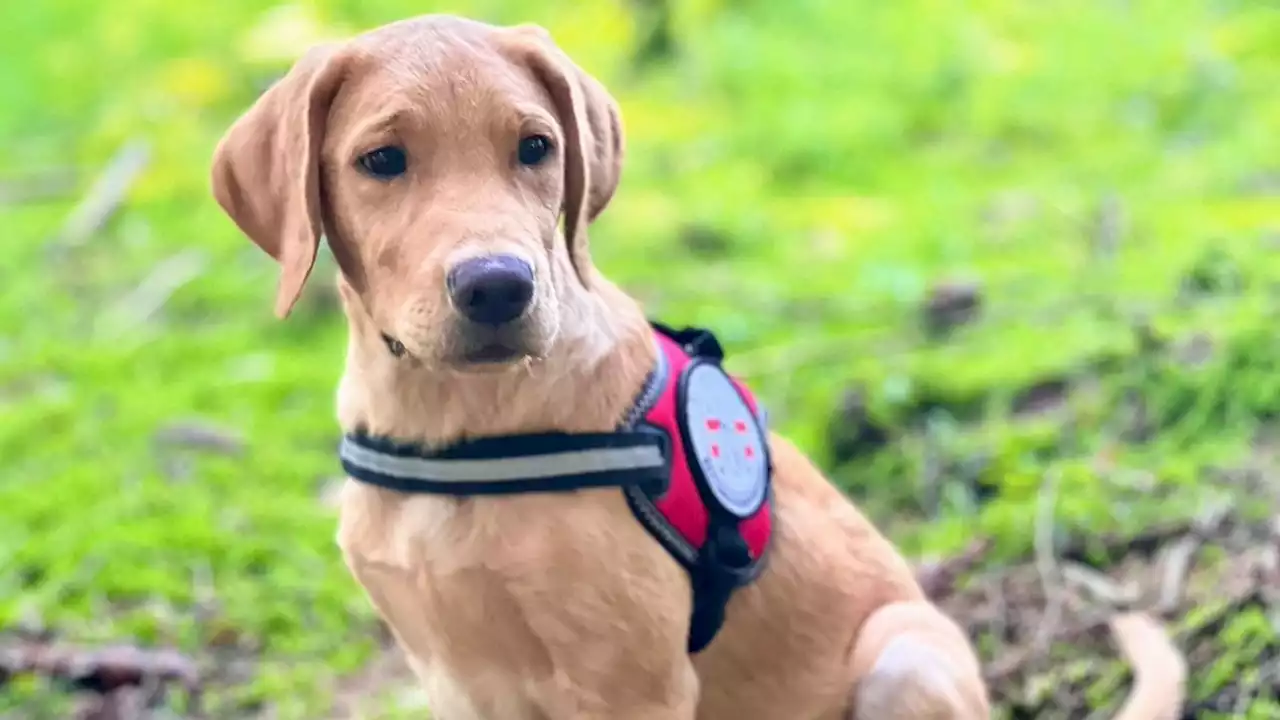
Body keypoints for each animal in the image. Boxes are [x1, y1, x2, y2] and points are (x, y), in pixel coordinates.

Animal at [209, 12, 1177, 717]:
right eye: (381, 161)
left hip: (905, 655)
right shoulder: (454, 675)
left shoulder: (632, 682)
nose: (498, 288)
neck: (453, 423)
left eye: (535, 147)